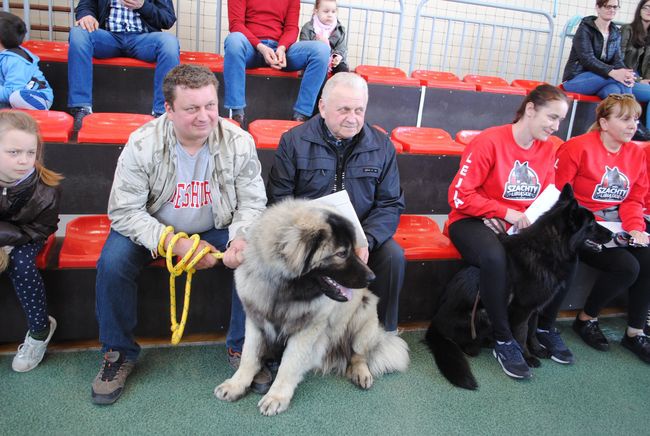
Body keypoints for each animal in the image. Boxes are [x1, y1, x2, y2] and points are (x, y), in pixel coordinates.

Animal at [422, 183, 612, 388]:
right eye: (591, 225)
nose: (613, 234)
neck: (547, 250)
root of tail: (434, 324)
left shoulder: (535, 308)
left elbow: (532, 331)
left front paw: (537, 349)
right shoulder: (521, 310)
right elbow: (521, 335)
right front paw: (527, 357)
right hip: (482, 314)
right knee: (469, 346)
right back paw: (487, 344)